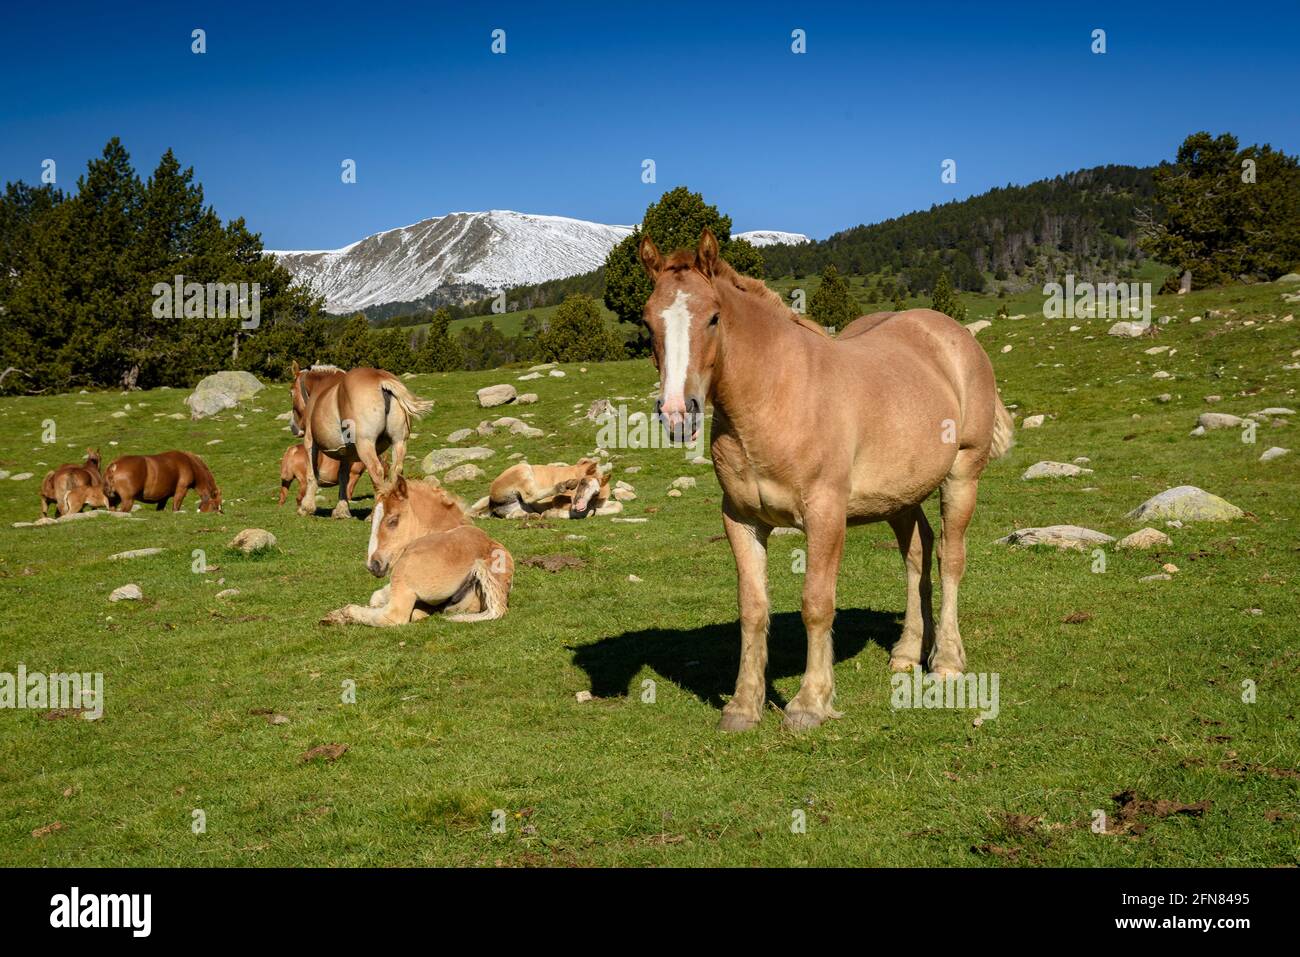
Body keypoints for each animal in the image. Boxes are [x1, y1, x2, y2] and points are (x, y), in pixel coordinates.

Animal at [289, 361, 431, 520]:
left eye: (291, 392)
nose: (294, 427)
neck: (321, 390)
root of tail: (381, 380)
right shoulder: (345, 452)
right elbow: (343, 476)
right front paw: (342, 510)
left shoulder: (310, 442)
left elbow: (312, 474)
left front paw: (306, 507)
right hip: (399, 442)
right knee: (396, 470)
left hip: (366, 444)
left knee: (376, 471)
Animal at [639, 227, 1013, 728]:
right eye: (647, 323)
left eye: (714, 317)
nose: (678, 413)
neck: (777, 396)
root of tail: (953, 336)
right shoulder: (740, 520)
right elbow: (752, 609)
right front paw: (743, 706)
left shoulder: (825, 515)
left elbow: (817, 604)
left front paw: (809, 703)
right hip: (900, 497)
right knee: (917, 555)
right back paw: (908, 652)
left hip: (962, 475)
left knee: (950, 558)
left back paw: (948, 660)